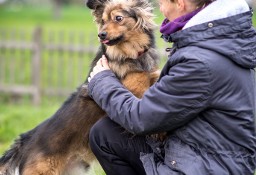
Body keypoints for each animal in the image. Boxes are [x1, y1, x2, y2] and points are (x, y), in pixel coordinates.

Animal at [0, 0, 160, 174]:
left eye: (118, 18)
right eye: (103, 21)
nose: (101, 34)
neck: (127, 55)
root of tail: (24, 141)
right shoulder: (135, 94)